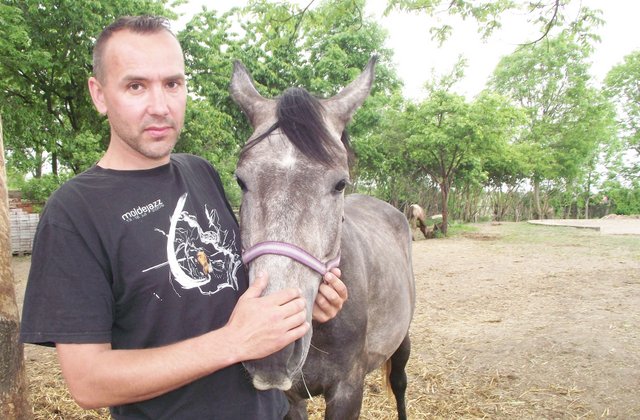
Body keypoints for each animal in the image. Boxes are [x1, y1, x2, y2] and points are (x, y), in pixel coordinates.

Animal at [230, 57, 416, 418]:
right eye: (241, 181)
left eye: (340, 183)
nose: (272, 351)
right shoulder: (290, 399)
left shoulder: (347, 391)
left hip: (402, 340)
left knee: (399, 384)